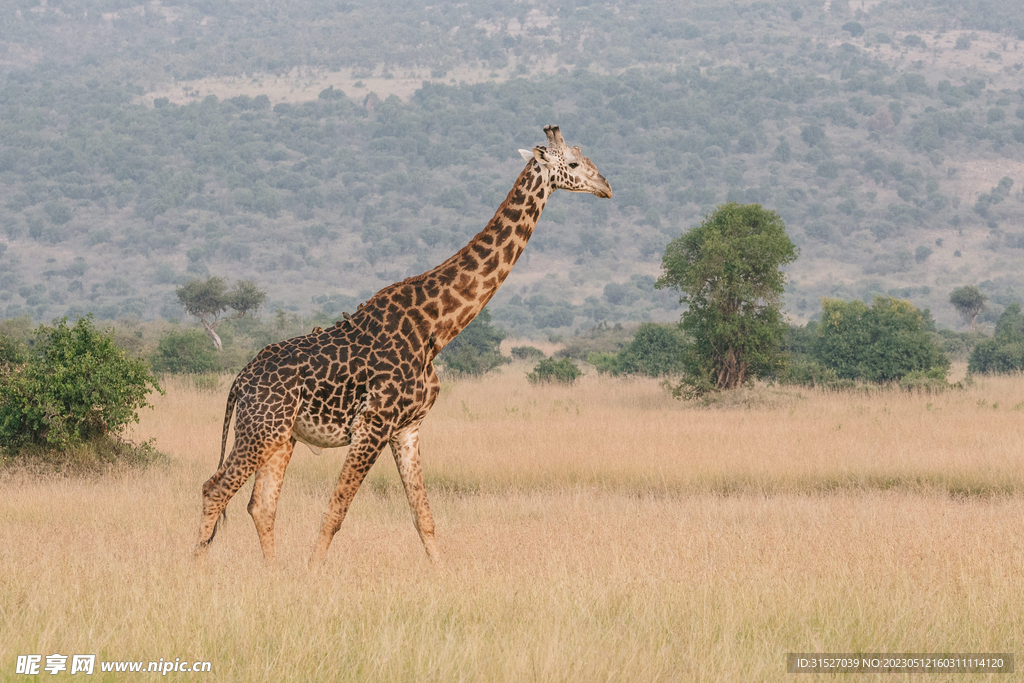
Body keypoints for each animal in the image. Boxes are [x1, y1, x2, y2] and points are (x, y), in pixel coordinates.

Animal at [193, 125, 606, 569]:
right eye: (574, 163)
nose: (606, 186)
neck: (436, 327)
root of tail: (240, 380)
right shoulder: (373, 424)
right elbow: (336, 509)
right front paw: (312, 572)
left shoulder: (408, 427)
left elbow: (423, 515)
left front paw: (442, 573)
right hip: (261, 428)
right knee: (215, 489)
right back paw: (196, 568)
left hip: (281, 435)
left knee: (261, 504)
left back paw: (272, 573)